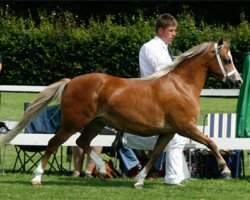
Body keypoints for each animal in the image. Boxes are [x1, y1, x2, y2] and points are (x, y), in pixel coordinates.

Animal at [0, 39, 242, 188]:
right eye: (227, 59)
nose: (238, 81)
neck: (180, 86)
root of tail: (71, 82)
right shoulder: (186, 127)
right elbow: (211, 143)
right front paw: (226, 171)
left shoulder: (169, 132)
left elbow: (155, 154)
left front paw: (140, 181)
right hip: (73, 122)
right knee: (53, 143)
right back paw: (37, 177)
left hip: (95, 123)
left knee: (82, 142)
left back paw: (100, 168)